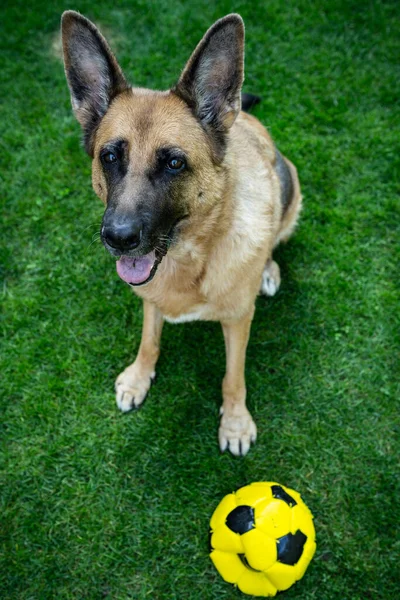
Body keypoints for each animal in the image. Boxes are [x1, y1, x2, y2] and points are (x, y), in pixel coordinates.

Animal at [61, 10, 300, 454]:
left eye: (174, 163)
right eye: (109, 156)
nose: (118, 238)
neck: (188, 259)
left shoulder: (238, 320)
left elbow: (233, 377)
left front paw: (235, 423)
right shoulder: (149, 300)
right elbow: (149, 340)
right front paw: (139, 377)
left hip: (291, 190)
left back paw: (268, 270)